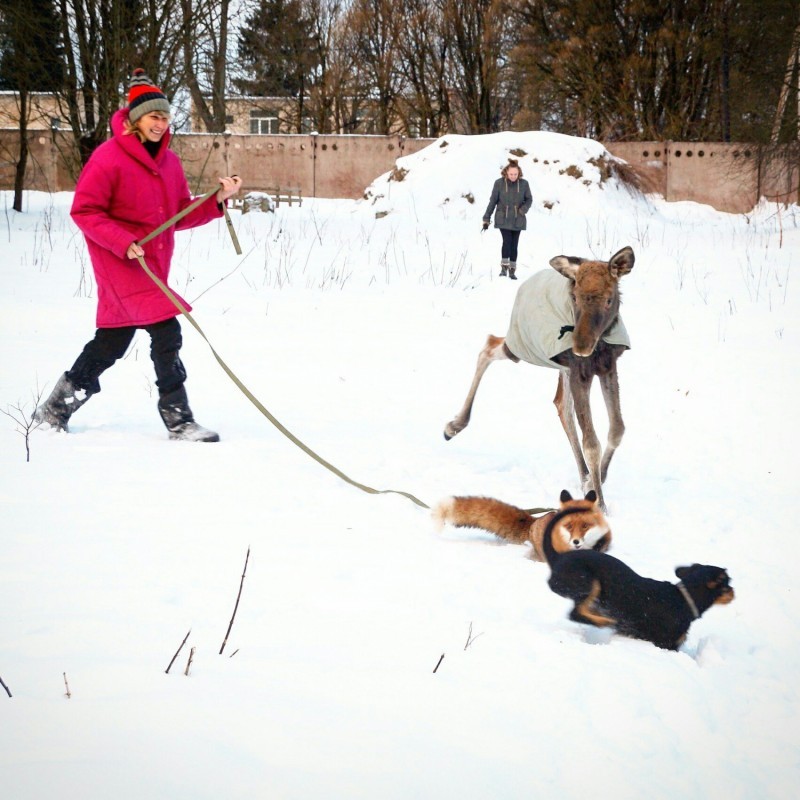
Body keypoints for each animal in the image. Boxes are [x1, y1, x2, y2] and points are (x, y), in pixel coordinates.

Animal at [540, 488, 736, 648]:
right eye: (728, 583)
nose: (734, 592)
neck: (684, 598)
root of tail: (557, 557)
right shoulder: (667, 644)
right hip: (587, 582)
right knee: (575, 613)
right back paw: (605, 621)